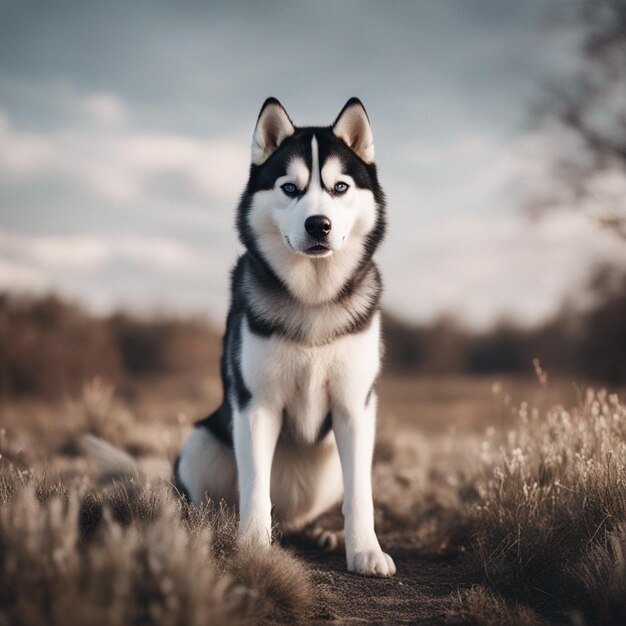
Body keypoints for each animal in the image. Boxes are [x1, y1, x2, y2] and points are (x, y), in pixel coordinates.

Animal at [173, 98, 392, 576]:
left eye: (340, 187)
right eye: (290, 188)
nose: (318, 224)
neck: (313, 298)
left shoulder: (355, 407)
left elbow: (361, 495)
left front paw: (365, 551)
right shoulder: (256, 406)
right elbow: (256, 489)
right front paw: (253, 549)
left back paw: (321, 532)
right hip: (199, 444)